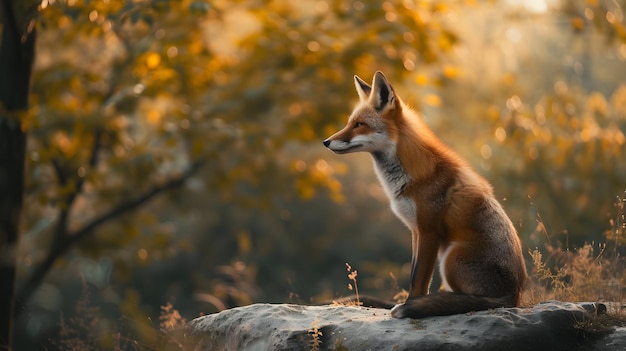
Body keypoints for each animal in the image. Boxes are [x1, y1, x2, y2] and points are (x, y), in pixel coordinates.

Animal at [322, 71, 528, 320]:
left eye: (359, 125)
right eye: (349, 123)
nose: (326, 142)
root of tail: (515, 296)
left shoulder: (429, 230)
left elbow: (419, 279)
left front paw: (411, 306)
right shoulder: (415, 230)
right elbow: (414, 274)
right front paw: (413, 303)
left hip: (450, 257)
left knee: (474, 301)